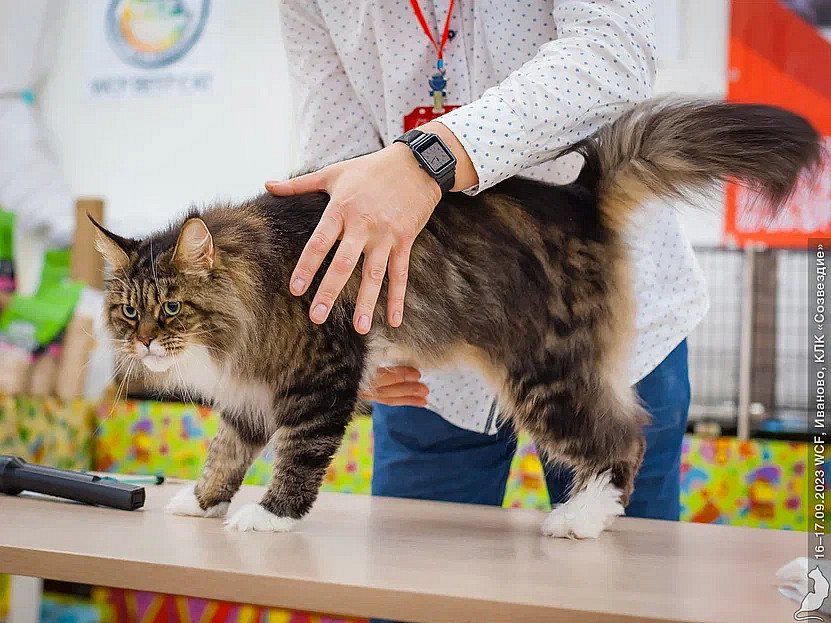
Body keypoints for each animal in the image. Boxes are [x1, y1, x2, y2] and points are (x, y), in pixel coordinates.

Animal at [92, 98, 822, 537]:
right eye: (129, 312)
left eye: (172, 308)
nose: (148, 344)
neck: (256, 277)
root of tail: (578, 197)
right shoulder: (250, 392)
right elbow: (227, 451)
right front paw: (199, 501)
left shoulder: (321, 376)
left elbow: (296, 458)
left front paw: (270, 518)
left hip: (547, 376)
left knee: (626, 439)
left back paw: (581, 519)